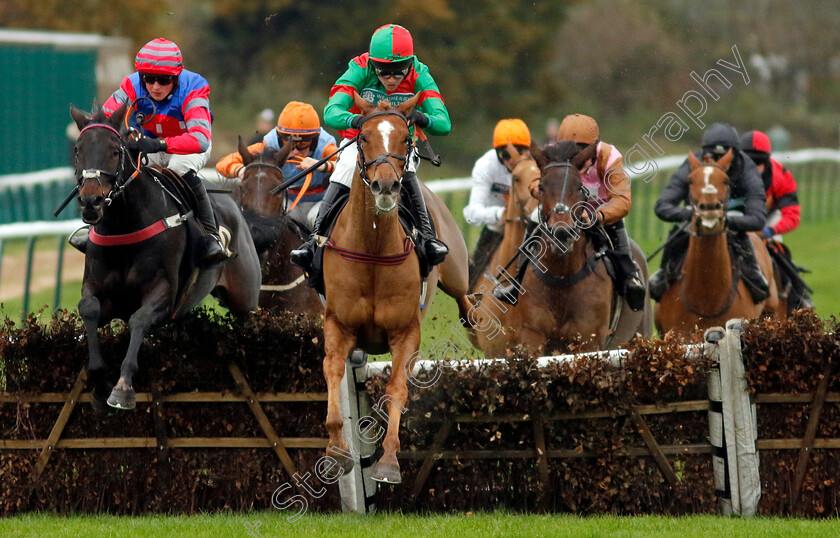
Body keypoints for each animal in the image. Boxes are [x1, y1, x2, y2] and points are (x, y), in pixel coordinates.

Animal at [70, 103, 260, 406]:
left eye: (115, 150)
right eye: (78, 150)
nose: (91, 202)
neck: (125, 227)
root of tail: (232, 199)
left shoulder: (163, 294)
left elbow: (139, 319)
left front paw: (122, 388)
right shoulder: (101, 291)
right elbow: (89, 309)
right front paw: (100, 384)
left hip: (245, 297)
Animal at [322, 92, 472, 482]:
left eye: (406, 139)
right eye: (363, 137)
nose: (387, 186)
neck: (373, 249)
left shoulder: (406, 332)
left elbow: (397, 388)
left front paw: (388, 460)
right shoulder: (338, 324)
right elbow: (332, 370)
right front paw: (337, 450)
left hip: (455, 269)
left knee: (464, 297)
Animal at [472, 140, 648, 354]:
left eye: (580, 187)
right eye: (541, 187)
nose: (562, 233)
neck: (561, 278)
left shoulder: (588, 341)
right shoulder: (530, 336)